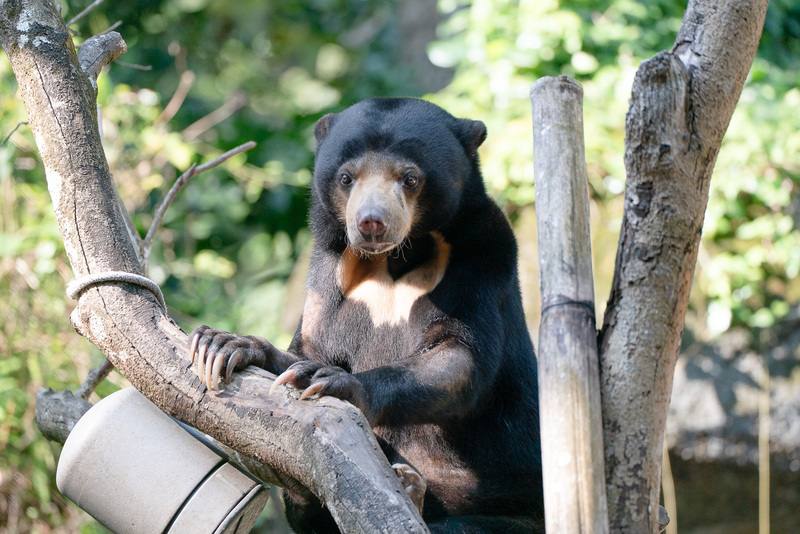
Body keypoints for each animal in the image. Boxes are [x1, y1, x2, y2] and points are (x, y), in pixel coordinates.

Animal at [189, 97, 543, 533]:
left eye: (409, 178)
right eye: (346, 177)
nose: (371, 222)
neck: (394, 259)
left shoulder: (481, 258)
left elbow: (460, 356)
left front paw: (328, 381)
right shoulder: (329, 271)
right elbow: (312, 345)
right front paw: (226, 345)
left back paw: (411, 488)